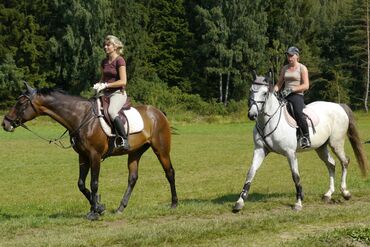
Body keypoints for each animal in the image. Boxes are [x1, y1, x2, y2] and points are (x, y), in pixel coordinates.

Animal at [1, 83, 178, 220]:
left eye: (20, 103)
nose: (5, 123)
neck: (80, 117)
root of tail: (158, 112)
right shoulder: (83, 156)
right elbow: (81, 184)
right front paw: (97, 206)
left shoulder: (95, 156)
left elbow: (94, 183)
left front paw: (95, 211)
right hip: (135, 152)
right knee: (133, 178)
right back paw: (121, 208)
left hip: (161, 150)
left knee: (169, 172)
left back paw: (174, 203)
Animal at [233, 72, 368, 211]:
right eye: (251, 91)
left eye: (265, 93)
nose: (252, 115)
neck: (268, 122)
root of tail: (338, 106)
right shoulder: (260, 150)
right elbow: (251, 172)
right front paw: (240, 202)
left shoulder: (290, 153)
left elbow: (295, 176)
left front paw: (298, 202)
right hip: (321, 147)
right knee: (331, 164)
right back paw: (328, 194)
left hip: (336, 143)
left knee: (345, 161)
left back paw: (345, 192)